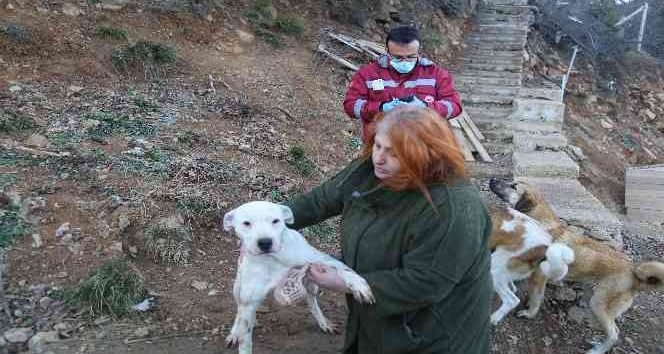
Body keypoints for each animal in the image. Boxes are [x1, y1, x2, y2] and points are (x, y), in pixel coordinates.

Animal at [220, 201, 370, 352]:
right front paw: (240, 338)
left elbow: (343, 269)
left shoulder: (321, 260)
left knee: (312, 302)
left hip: (311, 284)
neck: (272, 259)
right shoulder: (249, 302)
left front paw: (359, 285)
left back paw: (323, 322)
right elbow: (245, 340)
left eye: (276, 221)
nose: (265, 242)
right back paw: (234, 333)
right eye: (246, 223)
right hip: (238, 289)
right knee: (239, 310)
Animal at [488, 178, 664, 354]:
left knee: (614, 333)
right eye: (512, 182)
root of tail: (634, 272)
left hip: (598, 304)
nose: (492, 179)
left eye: (513, 186)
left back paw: (597, 350)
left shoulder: (540, 276)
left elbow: (536, 297)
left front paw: (529, 313)